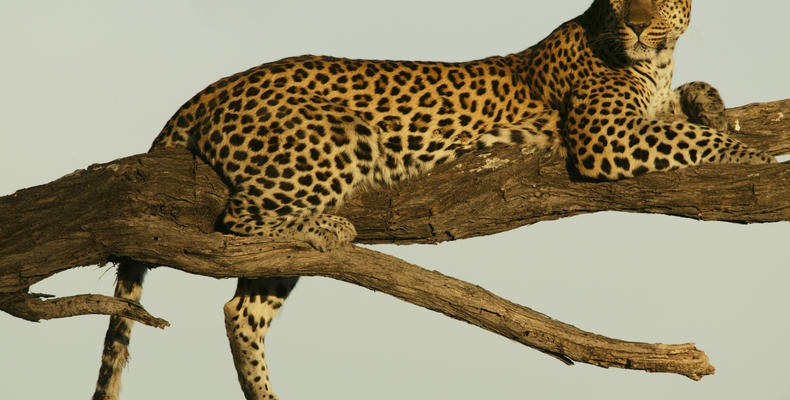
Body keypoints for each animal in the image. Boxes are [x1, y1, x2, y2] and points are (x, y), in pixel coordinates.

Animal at [94, 0, 780, 400]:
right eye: (617, 0)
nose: (637, 24)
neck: (655, 61)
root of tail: (209, 89)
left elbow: (693, 109)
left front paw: (711, 102)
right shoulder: (606, 137)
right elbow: (694, 139)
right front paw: (757, 158)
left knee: (242, 309)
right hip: (335, 139)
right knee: (235, 222)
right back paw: (323, 230)